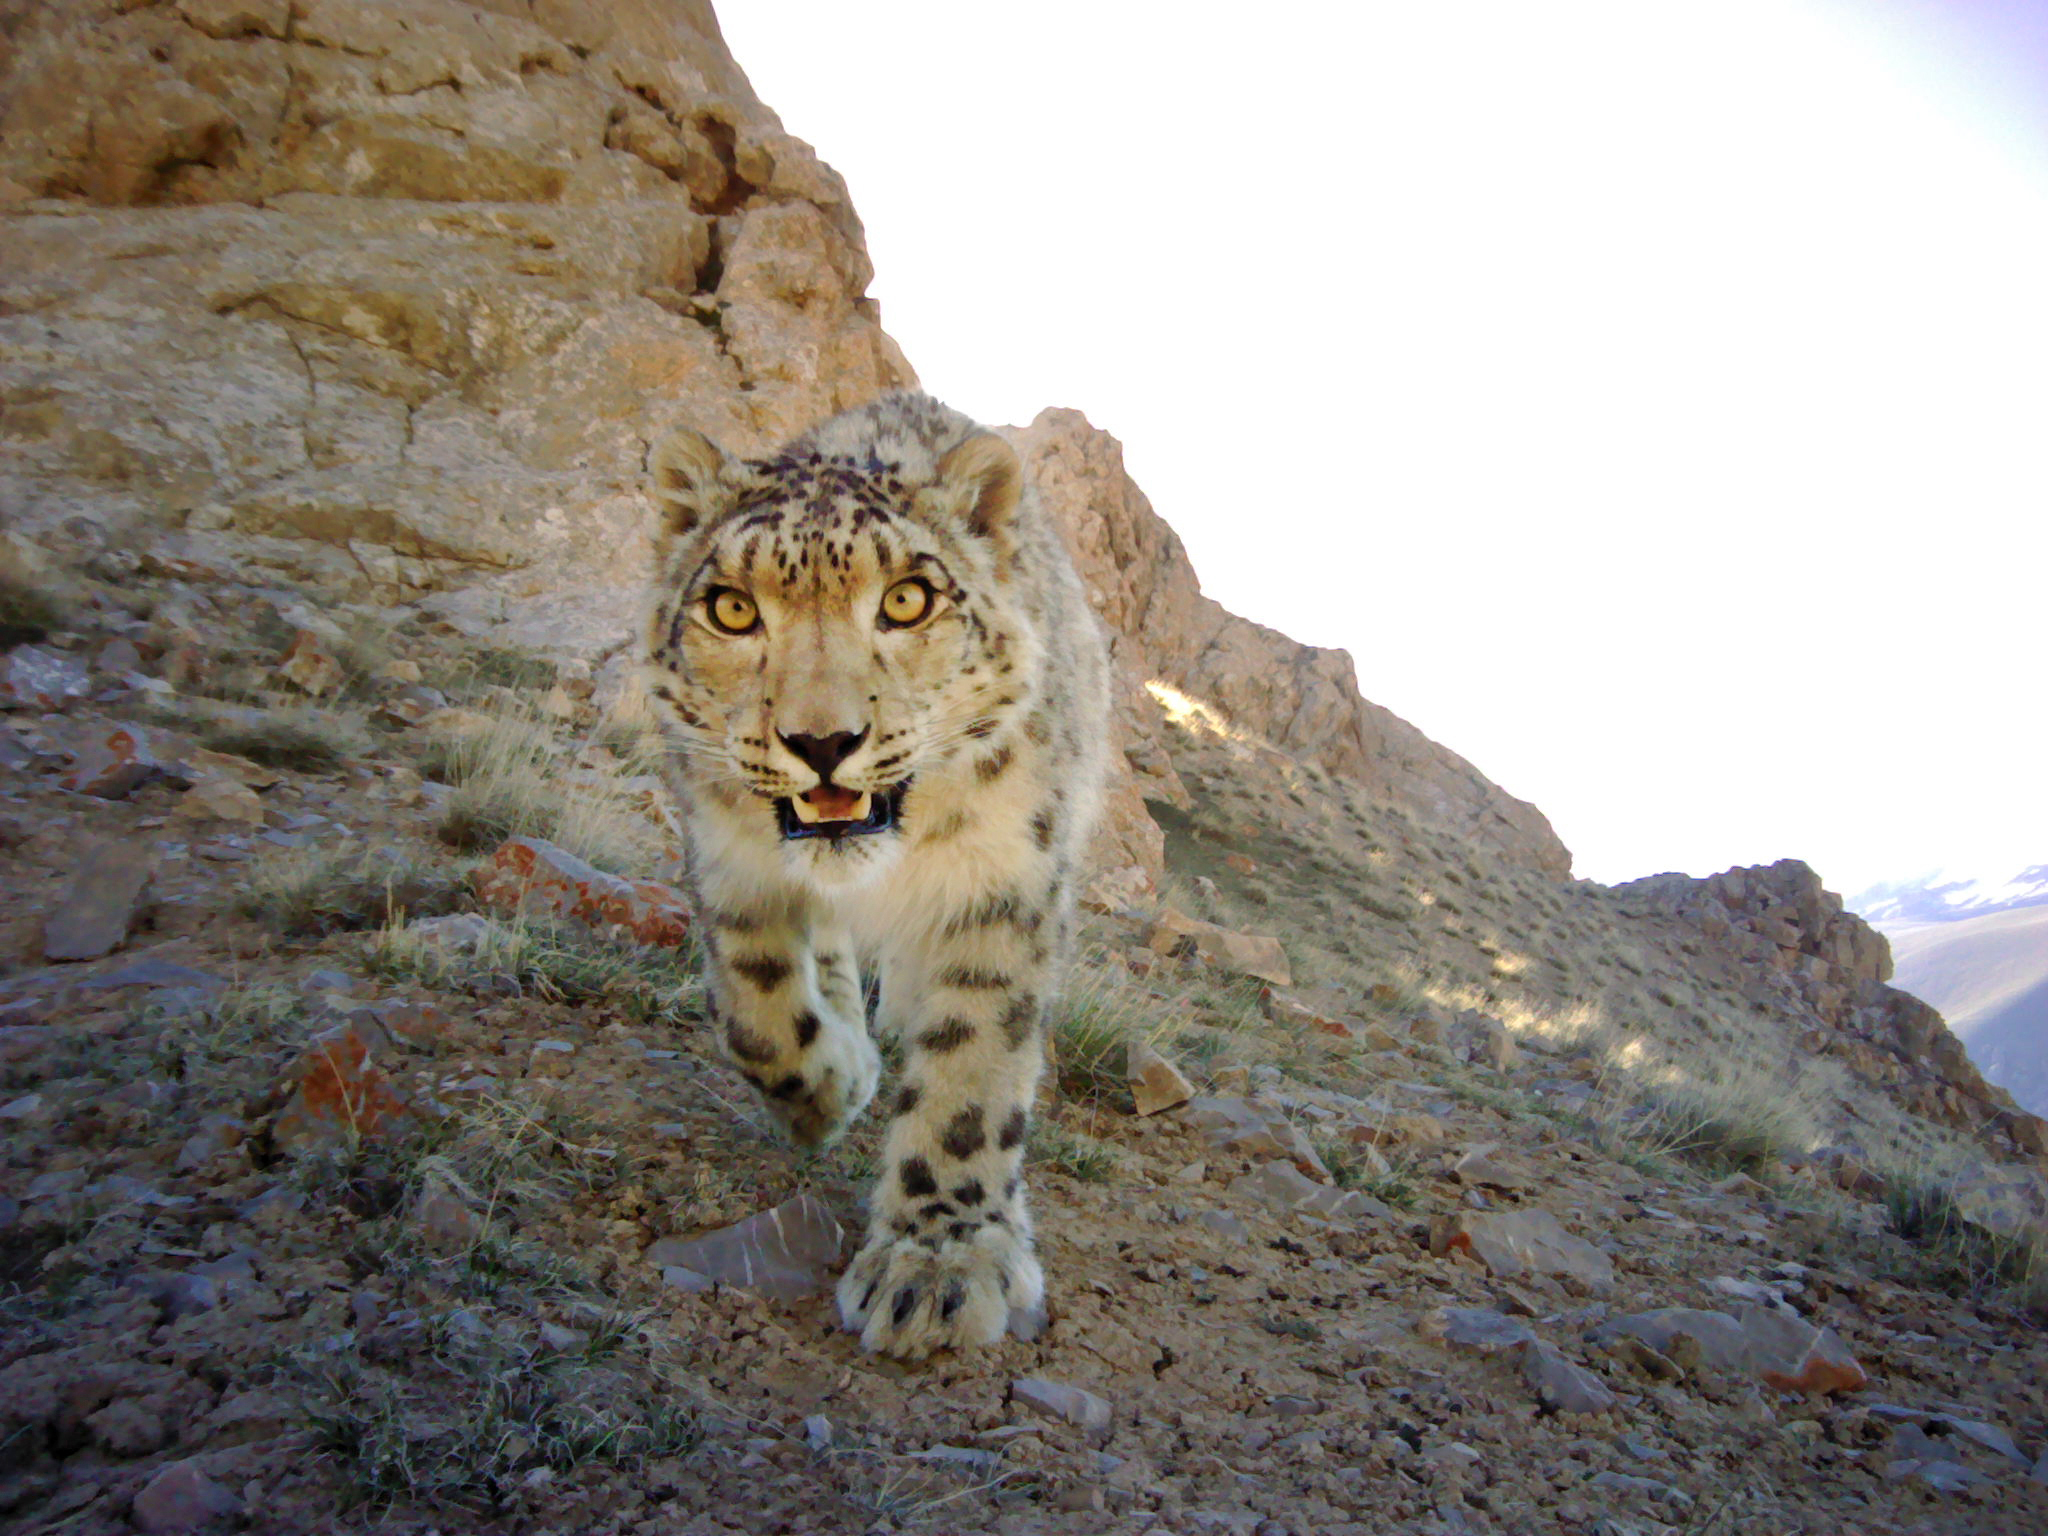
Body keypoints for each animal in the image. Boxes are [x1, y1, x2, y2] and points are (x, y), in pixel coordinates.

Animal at [639, 391, 1110, 1358]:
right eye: (731, 609)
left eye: (907, 599)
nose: (823, 741)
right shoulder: (728, 857)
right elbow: (755, 1010)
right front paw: (828, 1093)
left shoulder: (1003, 885)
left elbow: (971, 1074)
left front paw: (937, 1265)